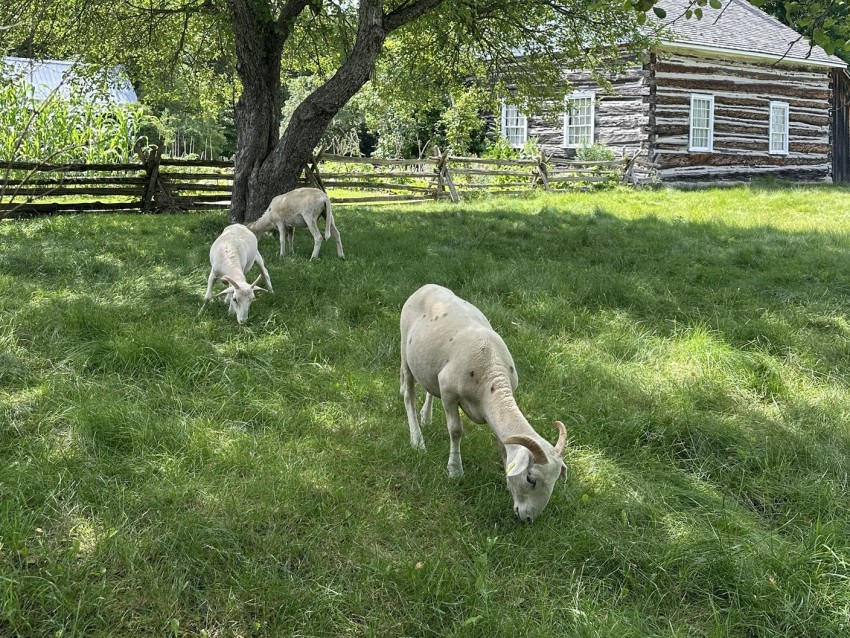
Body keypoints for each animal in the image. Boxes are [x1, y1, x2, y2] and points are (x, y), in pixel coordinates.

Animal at [400, 284, 567, 521]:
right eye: (531, 479)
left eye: (554, 482)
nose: (528, 519)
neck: (491, 376)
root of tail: (426, 286)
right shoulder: (449, 392)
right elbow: (456, 431)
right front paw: (455, 470)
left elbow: (502, 444)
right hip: (405, 350)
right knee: (408, 394)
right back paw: (417, 439)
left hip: (428, 365)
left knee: (429, 389)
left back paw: (427, 417)